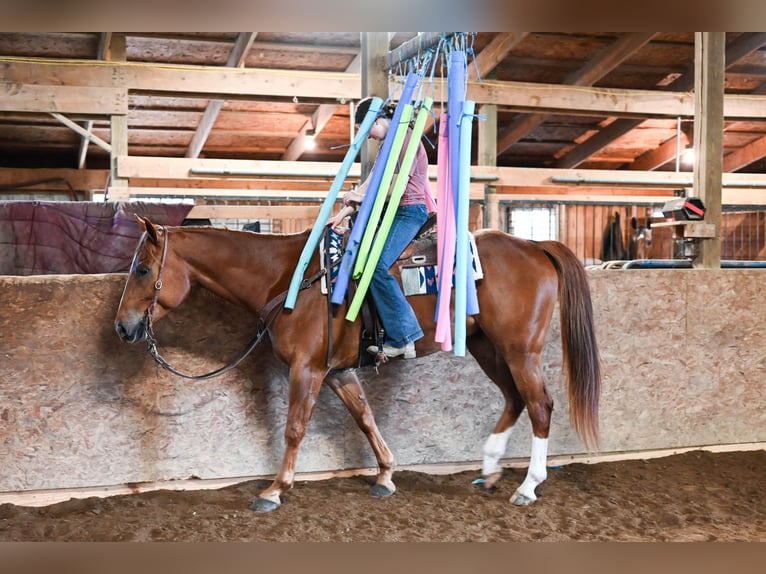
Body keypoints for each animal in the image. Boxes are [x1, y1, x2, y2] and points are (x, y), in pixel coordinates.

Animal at [115, 218, 600, 516]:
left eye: (142, 270)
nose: (122, 327)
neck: (289, 278)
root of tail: (535, 246)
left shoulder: (308, 370)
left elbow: (295, 428)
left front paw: (275, 489)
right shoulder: (337, 372)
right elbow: (365, 418)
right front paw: (385, 476)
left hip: (520, 350)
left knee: (540, 405)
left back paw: (528, 485)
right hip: (486, 346)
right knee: (515, 398)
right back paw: (489, 469)